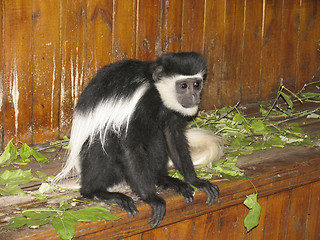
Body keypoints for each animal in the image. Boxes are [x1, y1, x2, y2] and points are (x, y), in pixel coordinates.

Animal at [55, 51, 220, 228]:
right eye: (183, 86)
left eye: (196, 84)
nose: (194, 96)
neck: (156, 91)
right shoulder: (138, 106)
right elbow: (130, 147)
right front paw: (151, 198)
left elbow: (173, 135)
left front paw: (195, 180)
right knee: (101, 142)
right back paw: (97, 192)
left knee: (155, 137)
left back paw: (163, 178)